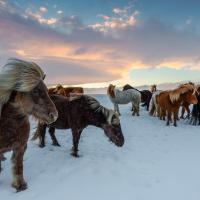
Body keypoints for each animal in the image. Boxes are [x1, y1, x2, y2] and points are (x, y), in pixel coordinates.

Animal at [0, 58, 57, 191]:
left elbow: (18, 167)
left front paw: (20, 185)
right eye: (35, 90)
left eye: (47, 90)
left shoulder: (20, 147)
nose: (54, 115)